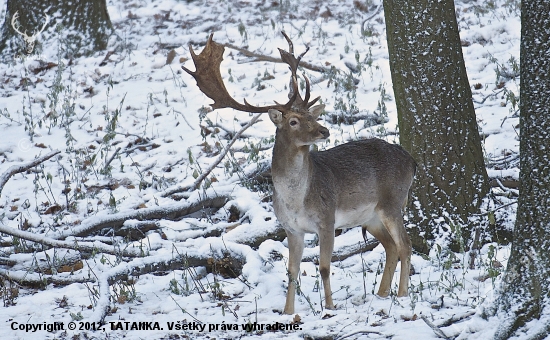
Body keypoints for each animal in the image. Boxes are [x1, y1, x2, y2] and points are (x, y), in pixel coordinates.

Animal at [183, 31, 416, 314]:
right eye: (293, 121)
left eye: (311, 116)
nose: (324, 130)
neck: (296, 201)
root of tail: (412, 161)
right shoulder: (291, 228)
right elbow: (291, 270)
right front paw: (287, 312)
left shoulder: (327, 219)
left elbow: (324, 267)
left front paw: (329, 307)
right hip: (370, 216)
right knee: (392, 246)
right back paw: (382, 294)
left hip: (392, 200)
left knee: (405, 244)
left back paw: (402, 294)